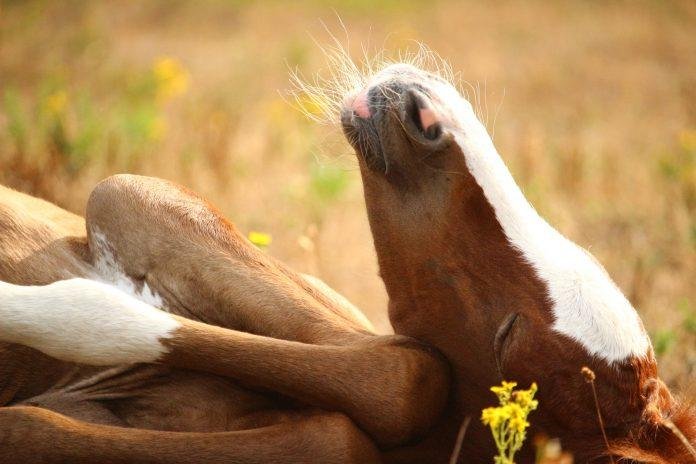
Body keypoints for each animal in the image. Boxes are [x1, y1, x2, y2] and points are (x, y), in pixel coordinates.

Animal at [1, 59, 696, 464]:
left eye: (508, 336)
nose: (424, 112)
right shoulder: (142, 200)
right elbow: (397, 378)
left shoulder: (128, 203)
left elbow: (396, 385)